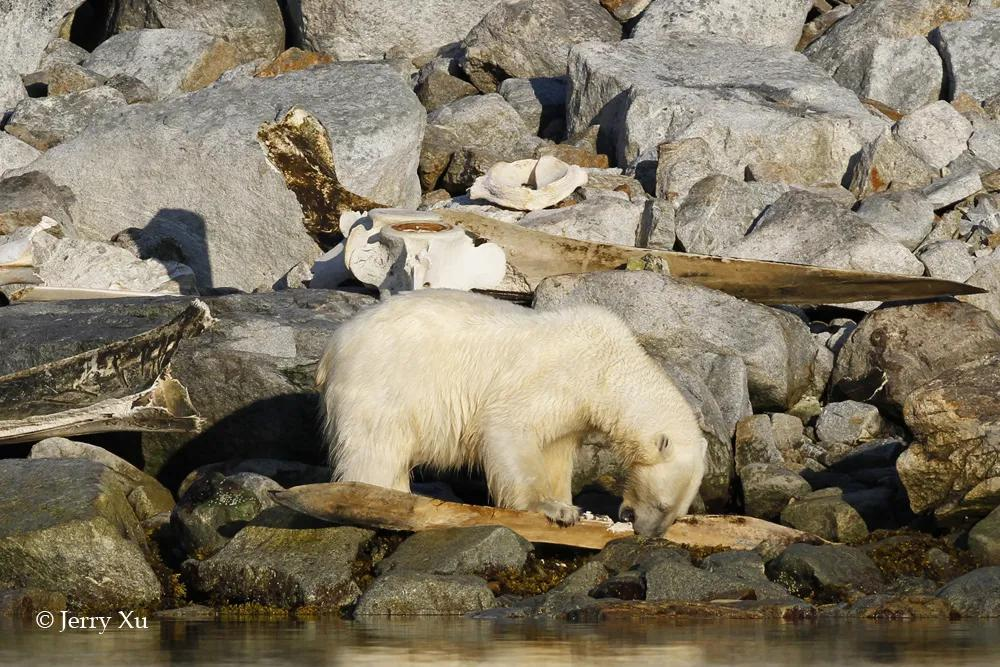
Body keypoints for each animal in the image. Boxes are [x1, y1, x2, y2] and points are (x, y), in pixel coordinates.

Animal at [316, 290, 708, 536]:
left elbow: (555, 452)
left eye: (678, 512)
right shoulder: (552, 381)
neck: (606, 365)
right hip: (385, 383)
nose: (648, 533)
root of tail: (335, 344)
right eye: (660, 503)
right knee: (376, 448)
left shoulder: (572, 415)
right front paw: (553, 509)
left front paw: (565, 501)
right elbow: (509, 429)